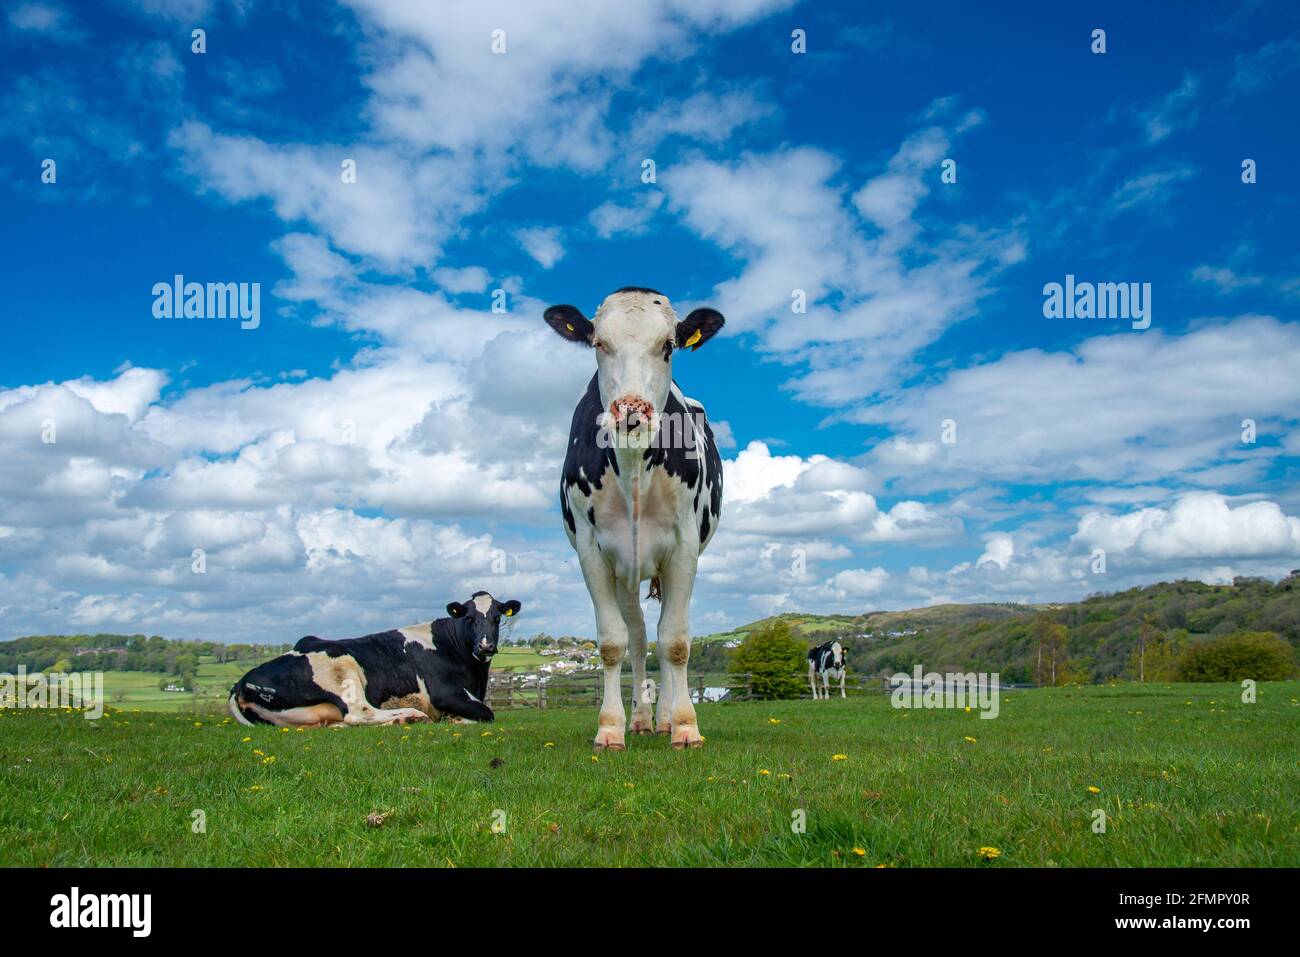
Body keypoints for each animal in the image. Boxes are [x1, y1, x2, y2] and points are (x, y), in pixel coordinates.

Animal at [228, 590, 517, 722]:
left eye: (497, 617)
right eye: (469, 618)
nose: (485, 646)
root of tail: (240, 682)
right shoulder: (445, 692)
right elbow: (487, 712)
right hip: (342, 669)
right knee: (360, 712)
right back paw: (410, 716)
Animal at [540, 287, 728, 748]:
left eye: (668, 345)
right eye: (598, 343)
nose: (630, 410)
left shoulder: (684, 547)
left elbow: (675, 641)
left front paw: (685, 726)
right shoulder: (593, 551)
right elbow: (614, 643)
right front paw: (611, 727)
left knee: (660, 635)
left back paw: (664, 719)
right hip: (627, 569)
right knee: (641, 637)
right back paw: (643, 719)